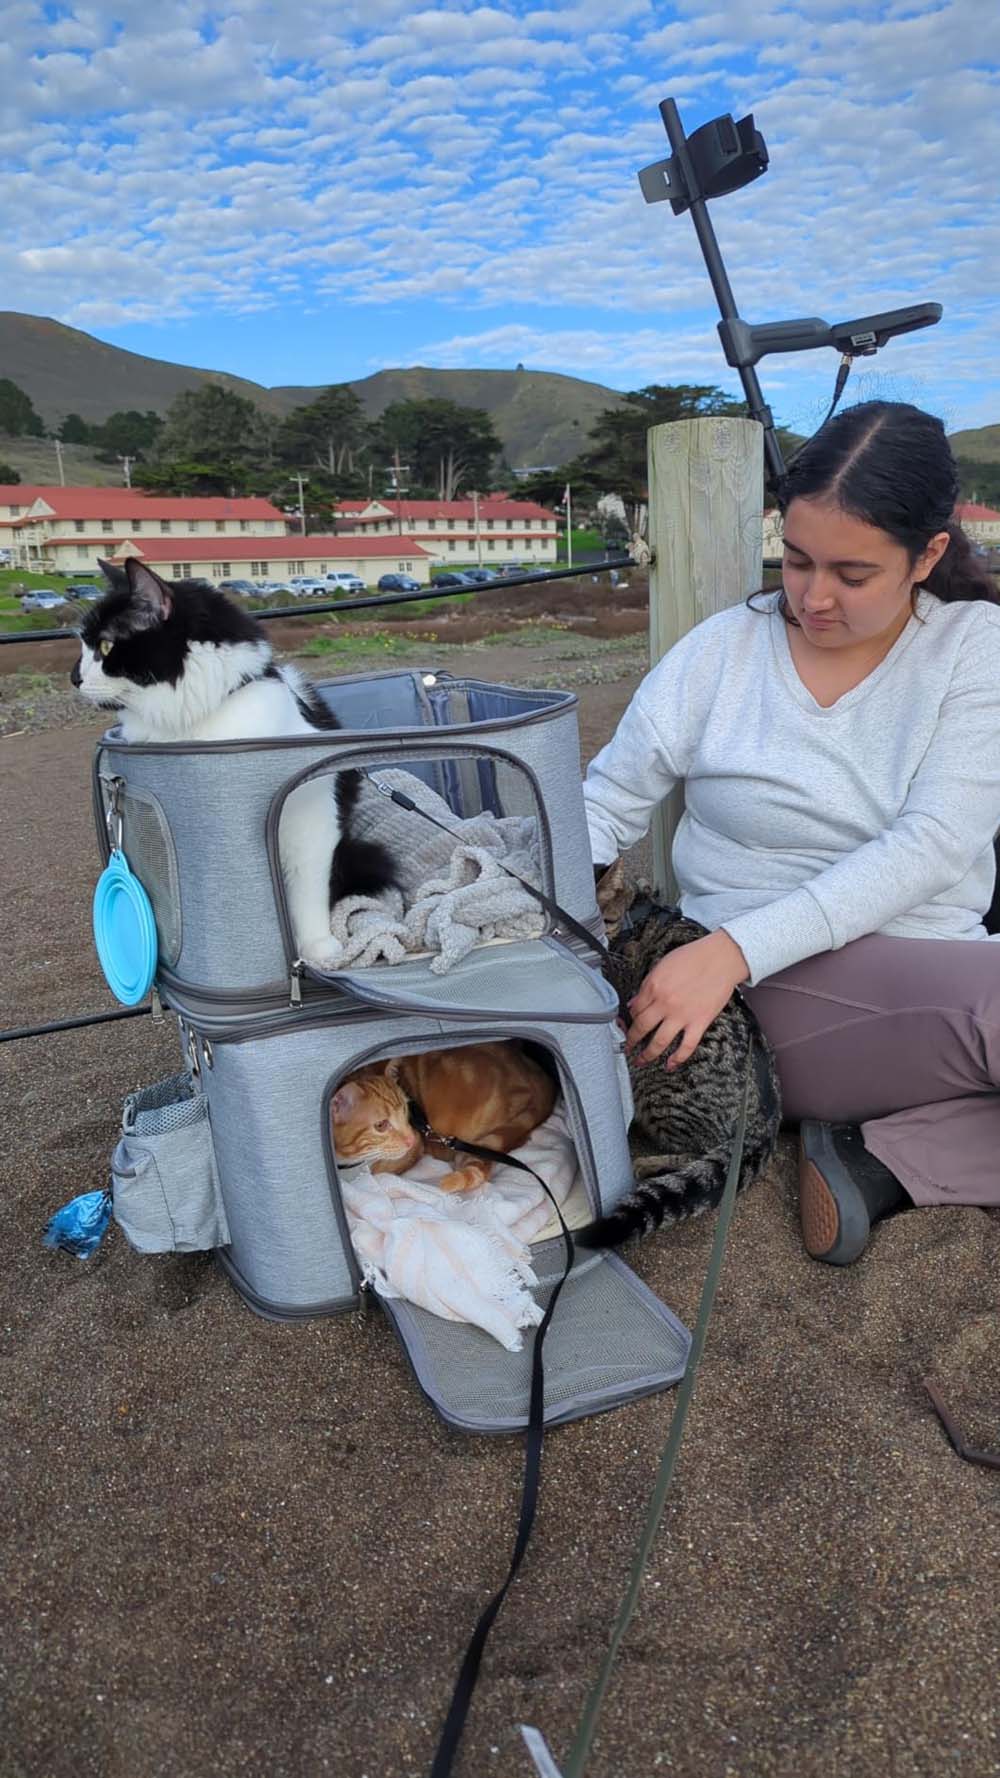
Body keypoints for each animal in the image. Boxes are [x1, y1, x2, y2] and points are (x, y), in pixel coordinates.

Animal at [68, 558, 396, 967]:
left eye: (106, 645)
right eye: (84, 645)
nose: (73, 677)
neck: (194, 720)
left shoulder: (311, 821)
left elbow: (307, 893)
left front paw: (318, 949)